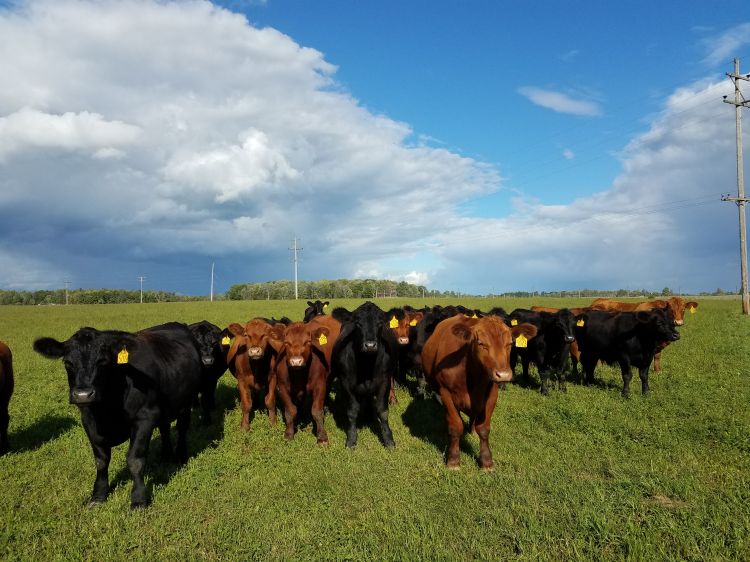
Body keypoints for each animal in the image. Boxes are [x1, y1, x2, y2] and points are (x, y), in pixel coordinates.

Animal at [33, 322, 202, 508]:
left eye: (103, 361)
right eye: (67, 362)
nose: (83, 395)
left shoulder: (145, 417)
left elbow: (135, 459)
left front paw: (139, 499)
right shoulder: (89, 422)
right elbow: (101, 460)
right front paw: (98, 495)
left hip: (186, 402)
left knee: (182, 428)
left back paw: (180, 457)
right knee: (165, 428)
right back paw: (165, 456)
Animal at [271, 315, 340, 445]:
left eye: (308, 342)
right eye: (286, 343)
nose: (296, 361)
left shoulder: (320, 386)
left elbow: (317, 411)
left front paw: (322, 437)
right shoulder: (282, 387)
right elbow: (290, 410)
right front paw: (289, 433)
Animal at [332, 301, 398, 448]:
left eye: (380, 322)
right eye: (358, 323)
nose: (370, 345)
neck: (367, 365)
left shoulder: (385, 382)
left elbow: (382, 411)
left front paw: (388, 439)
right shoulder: (346, 383)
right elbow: (352, 411)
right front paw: (351, 439)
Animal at [421, 315, 537, 470]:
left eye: (510, 344)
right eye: (481, 343)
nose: (503, 375)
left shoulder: (491, 395)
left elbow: (484, 428)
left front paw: (486, 461)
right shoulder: (445, 393)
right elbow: (455, 426)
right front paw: (453, 460)